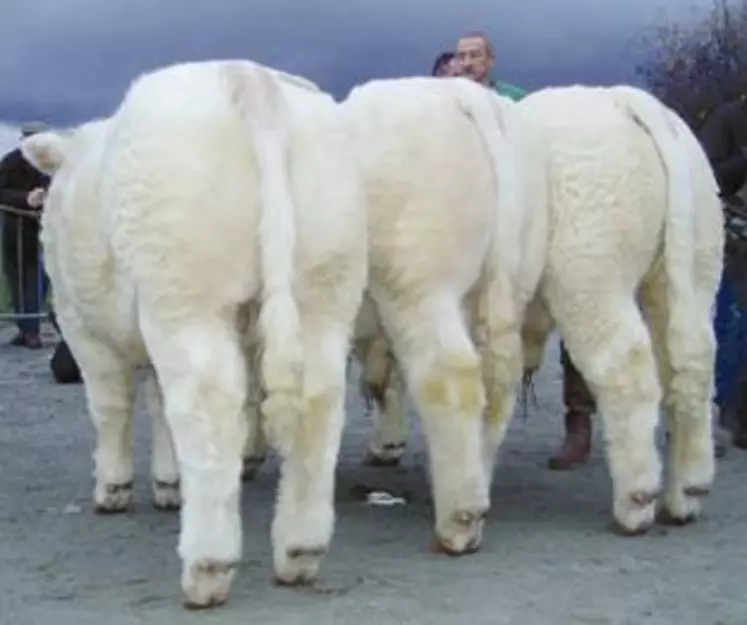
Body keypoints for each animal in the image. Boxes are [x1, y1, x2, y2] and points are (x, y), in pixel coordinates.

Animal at [24, 57, 370, 604]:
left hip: (185, 298)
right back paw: (299, 550)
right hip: (326, 289)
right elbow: (160, 405)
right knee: (319, 402)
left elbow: (112, 407)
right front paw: (168, 484)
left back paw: (207, 566)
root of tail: (245, 74)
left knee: (209, 405)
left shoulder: (82, 327)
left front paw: (114, 487)